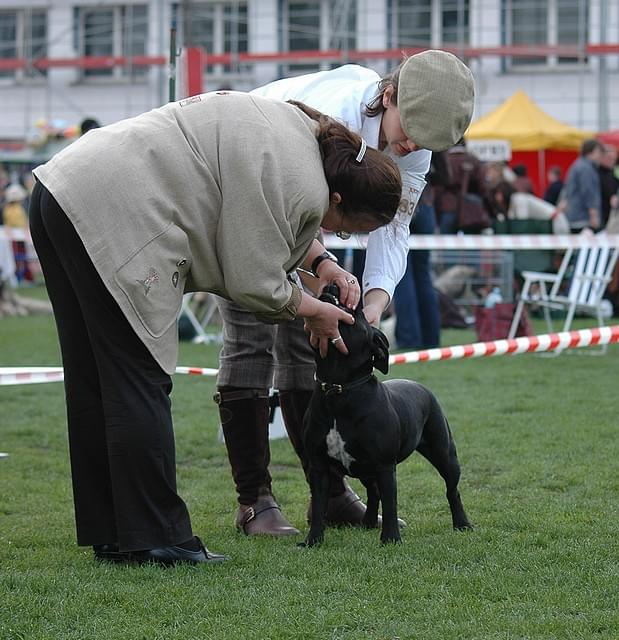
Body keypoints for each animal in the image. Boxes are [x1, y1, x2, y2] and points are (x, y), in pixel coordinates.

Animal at [302, 288, 472, 548]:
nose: (332, 286)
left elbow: (391, 504)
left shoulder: (384, 466)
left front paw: (391, 538)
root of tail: (419, 386)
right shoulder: (319, 466)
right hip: (365, 469)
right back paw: (368, 522)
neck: (339, 389)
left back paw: (462, 524)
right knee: (373, 493)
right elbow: (320, 505)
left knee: (452, 490)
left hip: (445, 454)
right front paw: (313, 541)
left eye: (359, 311)